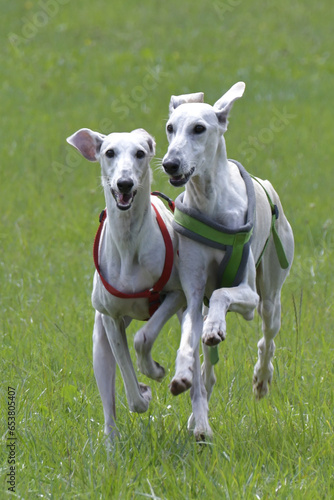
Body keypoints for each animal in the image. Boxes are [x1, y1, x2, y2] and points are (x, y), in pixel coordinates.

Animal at [66, 128, 184, 438]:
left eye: (140, 153)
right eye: (109, 152)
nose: (125, 183)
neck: (129, 240)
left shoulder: (175, 295)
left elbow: (144, 337)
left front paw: (153, 371)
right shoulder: (111, 319)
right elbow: (131, 389)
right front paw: (142, 391)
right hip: (99, 343)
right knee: (108, 399)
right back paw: (111, 440)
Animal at [163, 80, 294, 440]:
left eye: (199, 128)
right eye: (170, 128)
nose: (170, 164)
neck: (210, 202)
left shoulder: (247, 296)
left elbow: (225, 294)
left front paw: (216, 329)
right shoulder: (193, 294)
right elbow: (189, 336)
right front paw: (183, 374)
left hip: (271, 293)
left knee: (267, 337)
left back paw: (261, 380)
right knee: (207, 364)